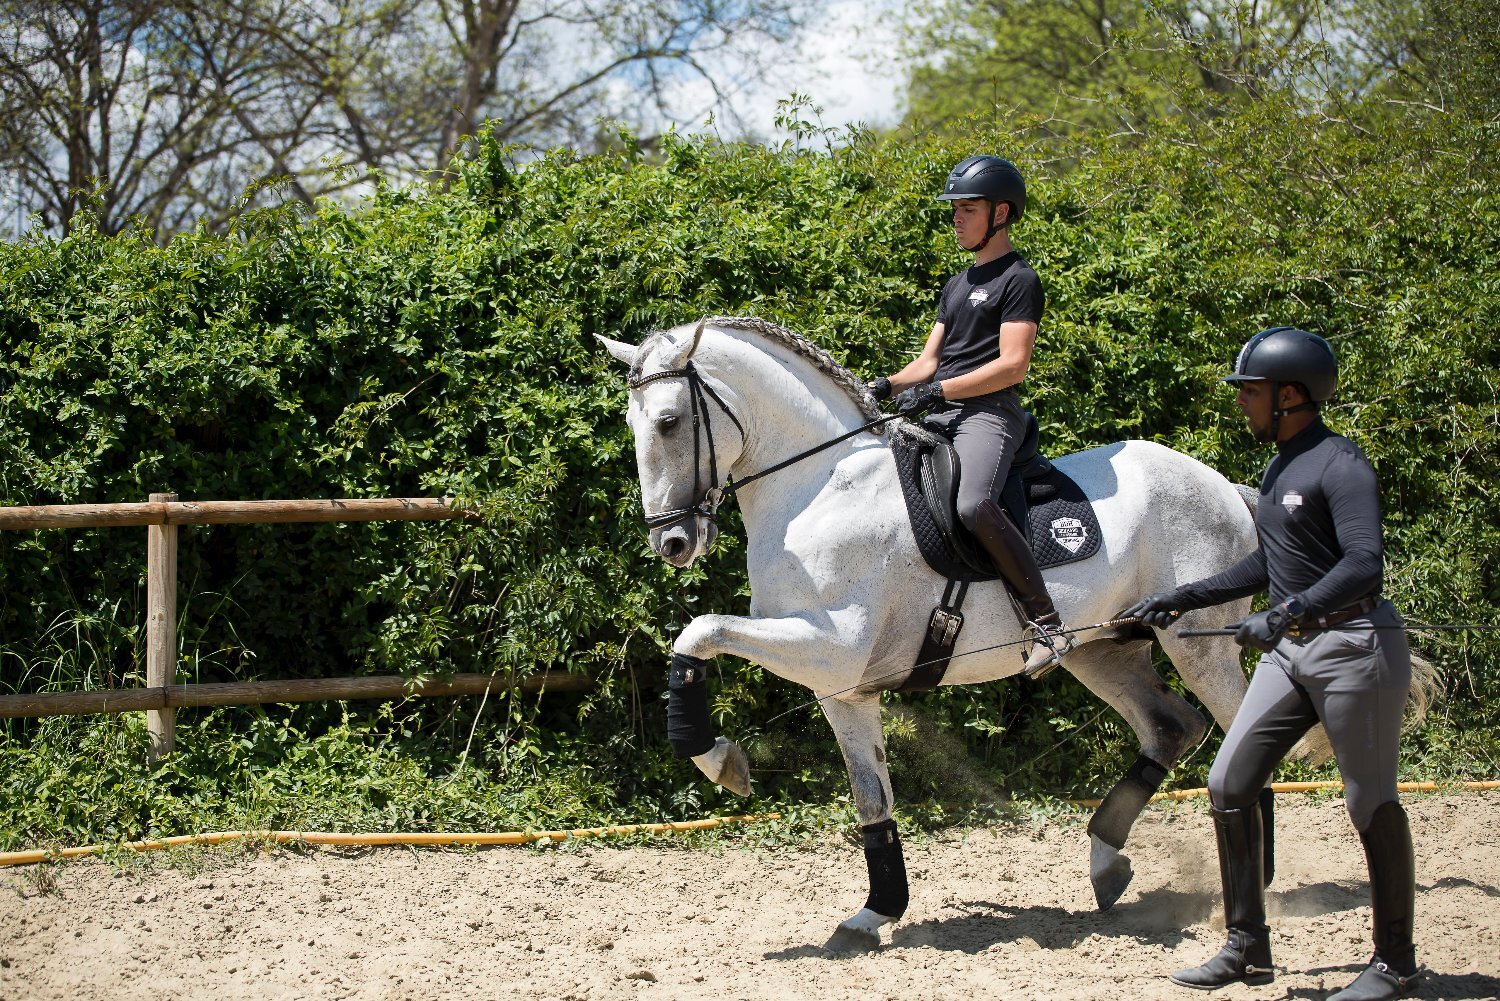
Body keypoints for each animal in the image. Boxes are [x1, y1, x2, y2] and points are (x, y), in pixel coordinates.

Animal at [599, 315, 1294, 951]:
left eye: (669, 422)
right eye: (634, 426)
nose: (672, 543)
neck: (820, 488)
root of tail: (1221, 484)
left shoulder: (832, 648)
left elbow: (698, 631)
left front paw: (719, 760)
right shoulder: (843, 688)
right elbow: (872, 799)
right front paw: (874, 914)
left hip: (1199, 645)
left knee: (1237, 739)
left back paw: (1252, 883)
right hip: (1103, 653)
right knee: (1172, 728)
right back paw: (1106, 862)